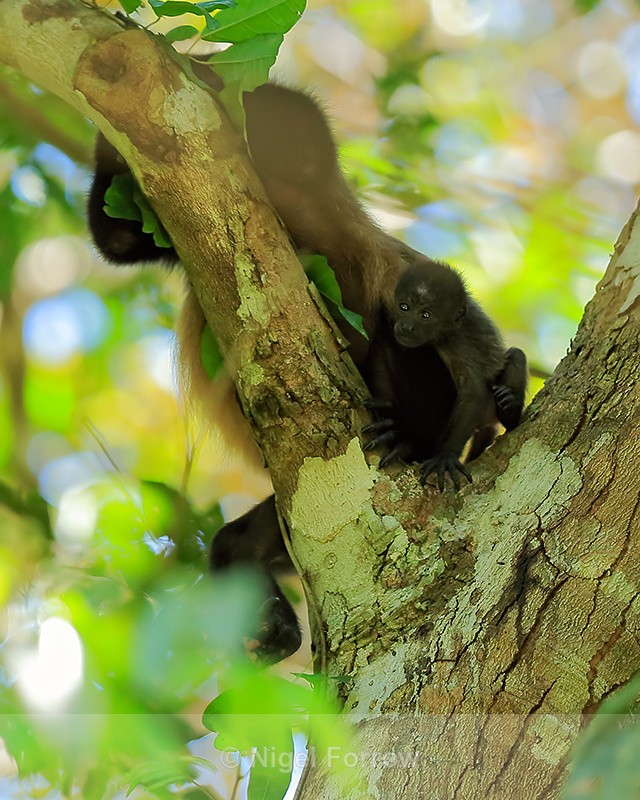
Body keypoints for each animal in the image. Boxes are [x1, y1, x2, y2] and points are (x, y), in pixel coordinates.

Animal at [362, 261, 528, 490]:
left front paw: (445, 456)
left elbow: (473, 391)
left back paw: (510, 408)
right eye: (404, 307)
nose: (407, 326)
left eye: (426, 315)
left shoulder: (458, 342)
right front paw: (390, 413)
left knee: (516, 355)